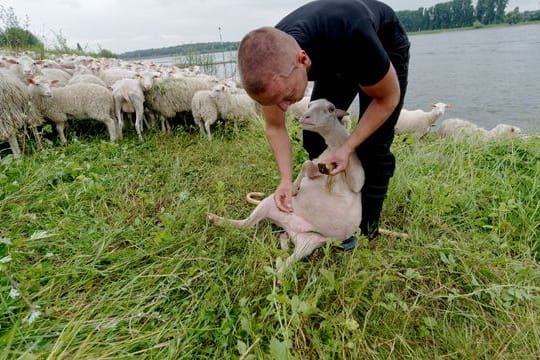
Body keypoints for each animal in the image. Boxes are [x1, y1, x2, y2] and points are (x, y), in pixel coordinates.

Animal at [206, 98, 362, 272]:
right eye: (310, 105)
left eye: (331, 109)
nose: (305, 117)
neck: (334, 146)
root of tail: (291, 229)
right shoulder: (316, 166)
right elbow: (307, 164)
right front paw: (294, 189)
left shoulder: (357, 180)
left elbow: (341, 168)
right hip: (269, 203)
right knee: (245, 225)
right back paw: (215, 219)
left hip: (310, 242)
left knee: (284, 263)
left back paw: (279, 264)